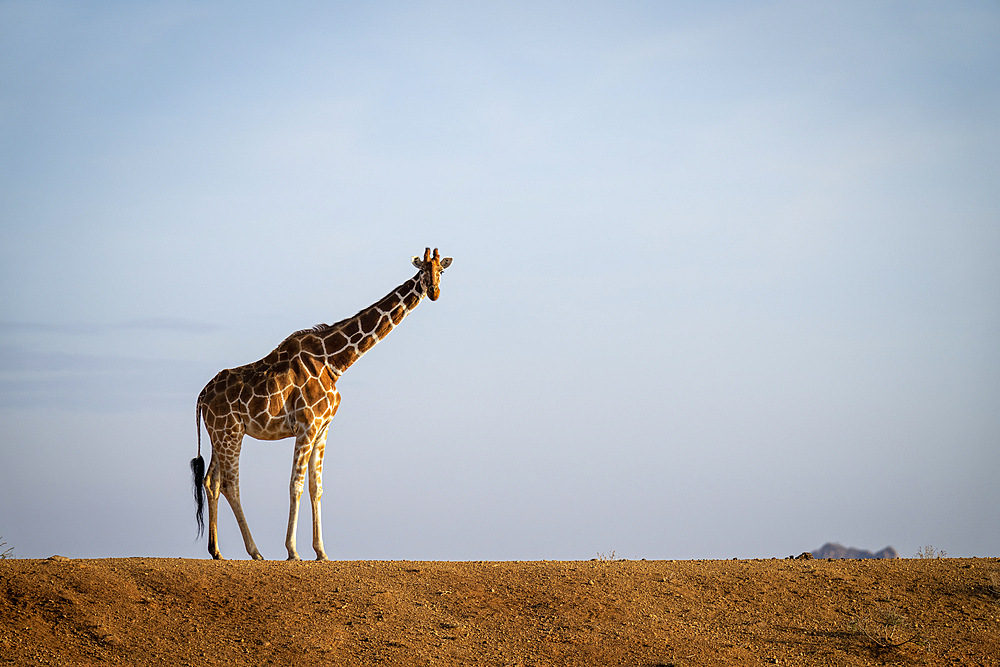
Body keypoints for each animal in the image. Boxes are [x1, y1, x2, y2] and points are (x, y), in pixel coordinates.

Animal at [188, 248, 454, 560]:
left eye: (441, 271)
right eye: (422, 269)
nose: (434, 291)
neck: (335, 361)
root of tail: (201, 396)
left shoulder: (323, 428)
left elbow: (317, 488)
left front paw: (321, 552)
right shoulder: (306, 425)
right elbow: (296, 485)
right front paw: (293, 551)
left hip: (221, 433)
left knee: (211, 481)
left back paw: (216, 551)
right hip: (229, 432)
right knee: (231, 484)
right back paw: (255, 552)